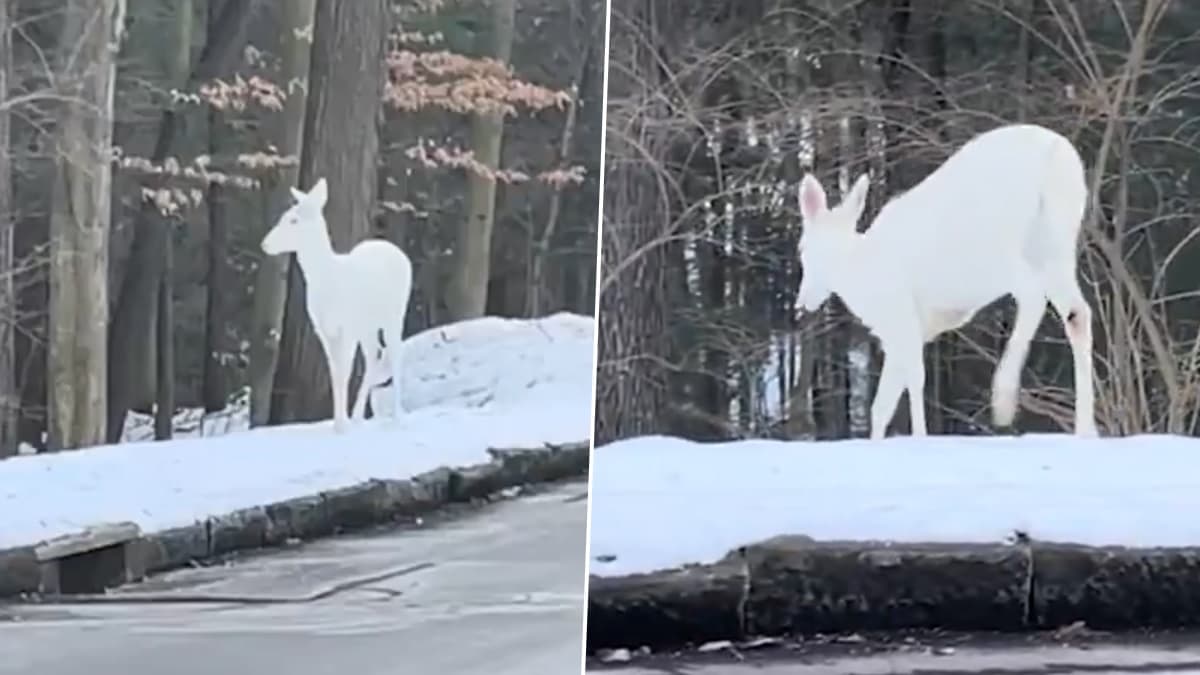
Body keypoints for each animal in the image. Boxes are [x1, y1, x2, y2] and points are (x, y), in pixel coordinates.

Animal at [260, 177, 415, 429]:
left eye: (293, 219)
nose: (265, 244)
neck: (328, 277)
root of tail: (398, 253)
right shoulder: (324, 330)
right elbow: (335, 374)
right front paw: (339, 423)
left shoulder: (347, 327)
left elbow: (344, 372)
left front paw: (342, 427)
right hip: (367, 326)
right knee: (374, 356)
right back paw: (358, 416)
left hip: (395, 313)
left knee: (394, 353)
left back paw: (397, 416)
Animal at [796, 123, 1099, 439]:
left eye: (802, 249)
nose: (802, 303)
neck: (860, 272)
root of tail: (1056, 156)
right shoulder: (896, 338)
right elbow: (881, 406)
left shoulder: (902, 318)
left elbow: (915, 380)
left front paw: (920, 435)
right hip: (1056, 243)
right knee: (1077, 313)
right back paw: (1085, 429)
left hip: (1001, 246)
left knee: (1033, 296)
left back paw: (1003, 397)